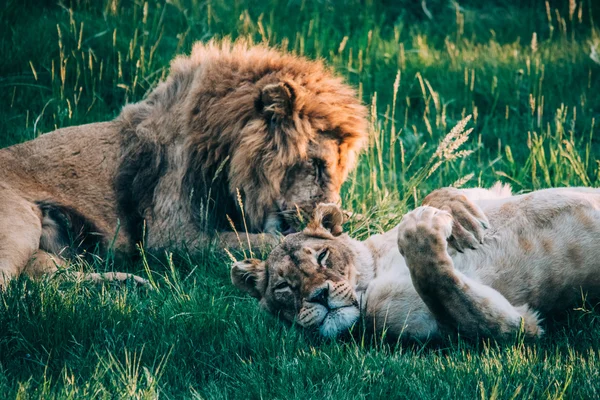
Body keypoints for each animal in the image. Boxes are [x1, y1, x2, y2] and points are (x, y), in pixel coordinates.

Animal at [0, 39, 368, 286]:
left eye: (341, 174)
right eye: (317, 165)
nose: (333, 218)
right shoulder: (170, 235)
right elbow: (267, 240)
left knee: (44, 281)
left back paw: (127, 285)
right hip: (19, 228)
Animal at [232, 184, 600, 340]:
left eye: (322, 256)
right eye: (284, 287)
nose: (318, 296)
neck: (376, 268)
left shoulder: (490, 192)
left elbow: (445, 196)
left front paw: (450, 213)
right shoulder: (508, 327)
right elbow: (439, 284)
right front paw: (421, 227)